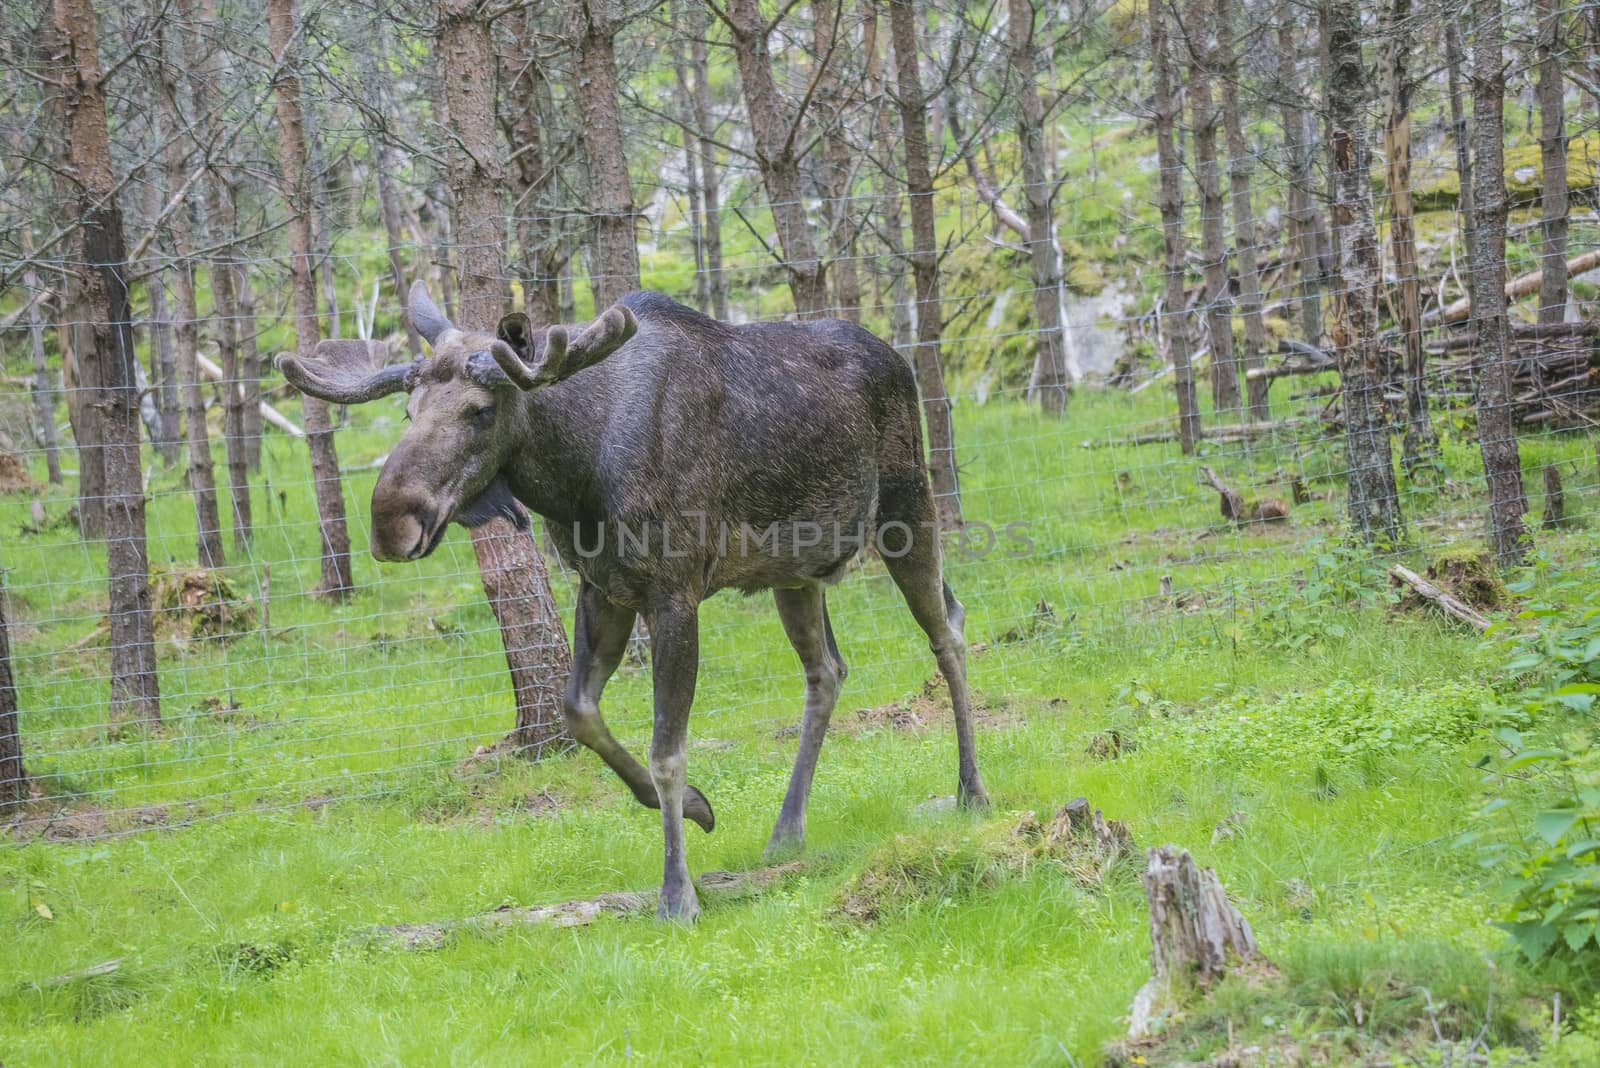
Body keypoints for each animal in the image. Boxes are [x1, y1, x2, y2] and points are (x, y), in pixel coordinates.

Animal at [286, 282, 985, 920]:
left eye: (481, 410)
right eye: (408, 409)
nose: (391, 523)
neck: (574, 477)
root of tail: (898, 357)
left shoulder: (674, 591)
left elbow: (666, 751)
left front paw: (677, 892)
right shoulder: (603, 587)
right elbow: (579, 713)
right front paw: (700, 806)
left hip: (905, 508)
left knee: (947, 630)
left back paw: (970, 790)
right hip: (795, 572)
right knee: (828, 671)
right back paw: (787, 830)